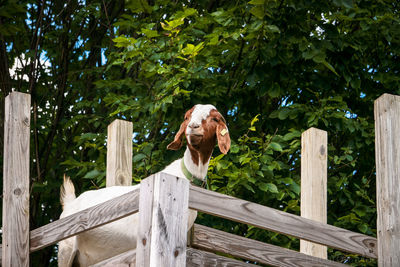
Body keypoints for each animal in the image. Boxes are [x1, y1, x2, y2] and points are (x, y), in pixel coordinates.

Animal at [57, 104, 230, 267]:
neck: (184, 175)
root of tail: (70, 202)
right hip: (66, 250)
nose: (193, 127)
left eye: (215, 119)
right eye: (187, 117)